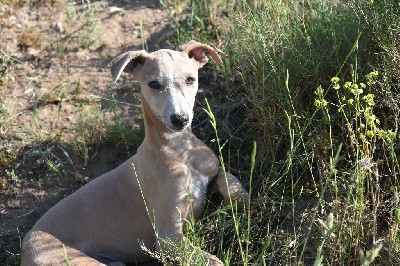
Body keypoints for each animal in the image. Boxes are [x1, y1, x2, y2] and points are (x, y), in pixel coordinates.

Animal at [21, 40, 250, 264]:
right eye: (154, 84)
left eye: (190, 79)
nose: (180, 119)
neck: (180, 152)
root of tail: (25, 247)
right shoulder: (167, 238)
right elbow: (214, 261)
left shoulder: (210, 171)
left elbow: (228, 179)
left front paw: (241, 200)